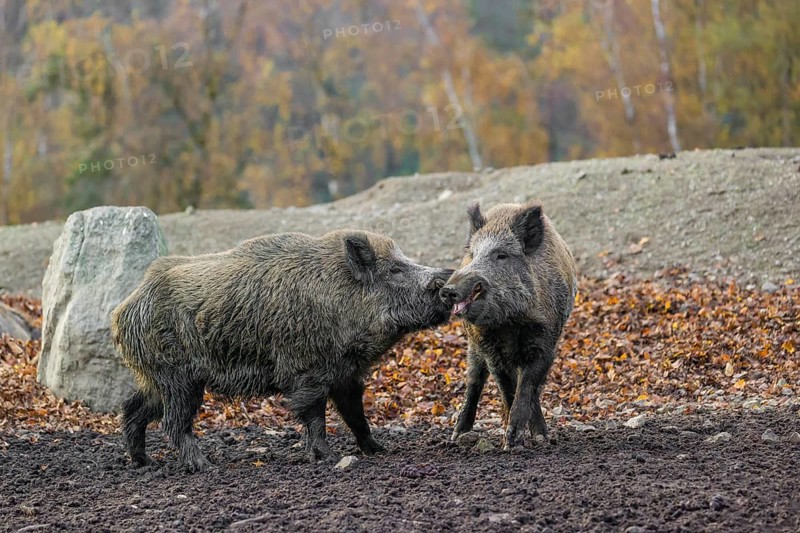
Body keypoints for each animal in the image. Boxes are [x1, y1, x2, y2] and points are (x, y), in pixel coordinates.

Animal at [111, 230, 453, 471]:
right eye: (395, 270)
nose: (447, 276)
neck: (342, 300)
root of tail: (124, 310)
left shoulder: (346, 374)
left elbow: (356, 415)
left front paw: (380, 450)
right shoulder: (307, 371)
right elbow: (315, 416)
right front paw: (327, 457)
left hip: (156, 379)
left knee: (134, 407)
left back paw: (143, 462)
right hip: (178, 377)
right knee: (173, 421)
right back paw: (203, 466)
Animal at [440, 201, 577, 449]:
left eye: (501, 255)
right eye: (473, 254)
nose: (447, 290)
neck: (510, 323)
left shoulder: (545, 344)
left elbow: (527, 388)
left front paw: (529, 440)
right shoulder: (490, 350)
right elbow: (507, 388)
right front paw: (510, 443)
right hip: (473, 347)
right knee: (474, 382)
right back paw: (457, 435)